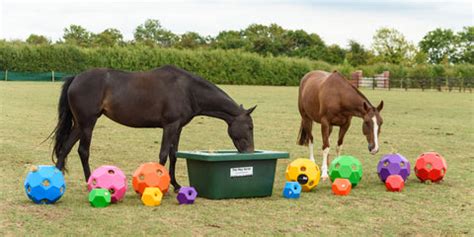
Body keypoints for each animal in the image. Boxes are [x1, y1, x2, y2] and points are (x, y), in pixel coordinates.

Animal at [51, 64, 256, 191]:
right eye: (250, 127)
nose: (250, 152)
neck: (188, 90)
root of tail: (76, 77)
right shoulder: (170, 126)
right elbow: (163, 155)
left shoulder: (178, 128)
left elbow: (174, 155)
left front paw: (176, 185)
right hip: (88, 123)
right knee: (83, 151)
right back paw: (91, 183)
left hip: (80, 124)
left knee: (65, 148)